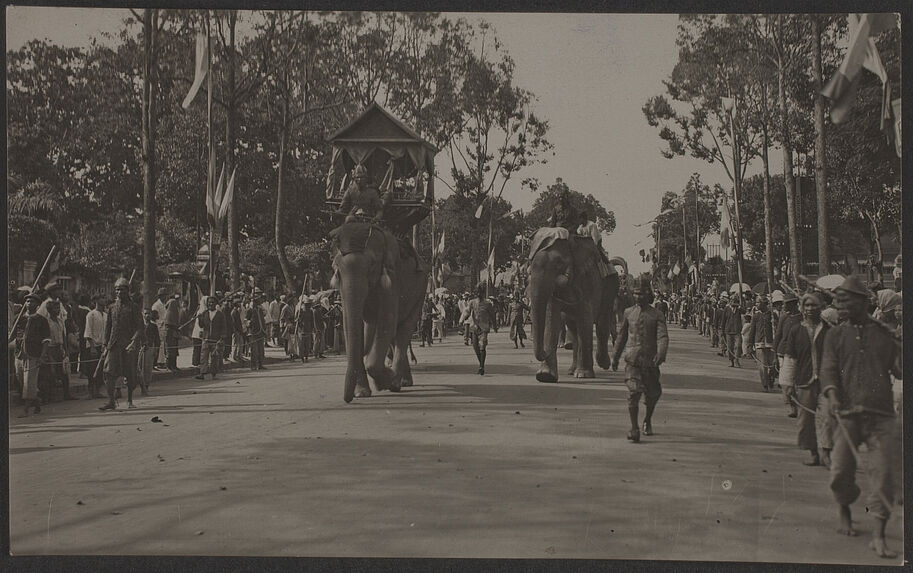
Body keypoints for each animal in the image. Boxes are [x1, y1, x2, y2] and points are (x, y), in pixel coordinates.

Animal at [330, 220, 426, 402]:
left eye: (372, 265)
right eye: (336, 267)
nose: (348, 399)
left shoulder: (393, 275)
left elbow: (387, 321)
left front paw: (384, 382)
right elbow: (350, 327)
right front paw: (362, 393)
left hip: (420, 294)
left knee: (403, 332)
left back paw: (396, 383)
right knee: (390, 336)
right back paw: (402, 381)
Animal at [528, 226, 620, 382]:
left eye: (559, 264)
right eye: (531, 264)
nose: (545, 352)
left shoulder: (588, 279)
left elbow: (585, 319)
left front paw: (584, 375)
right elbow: (551, 319)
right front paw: (545, 376)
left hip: (610, 287)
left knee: (602, 324)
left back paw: (603, 363)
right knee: (574, 329)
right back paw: (572, 370)